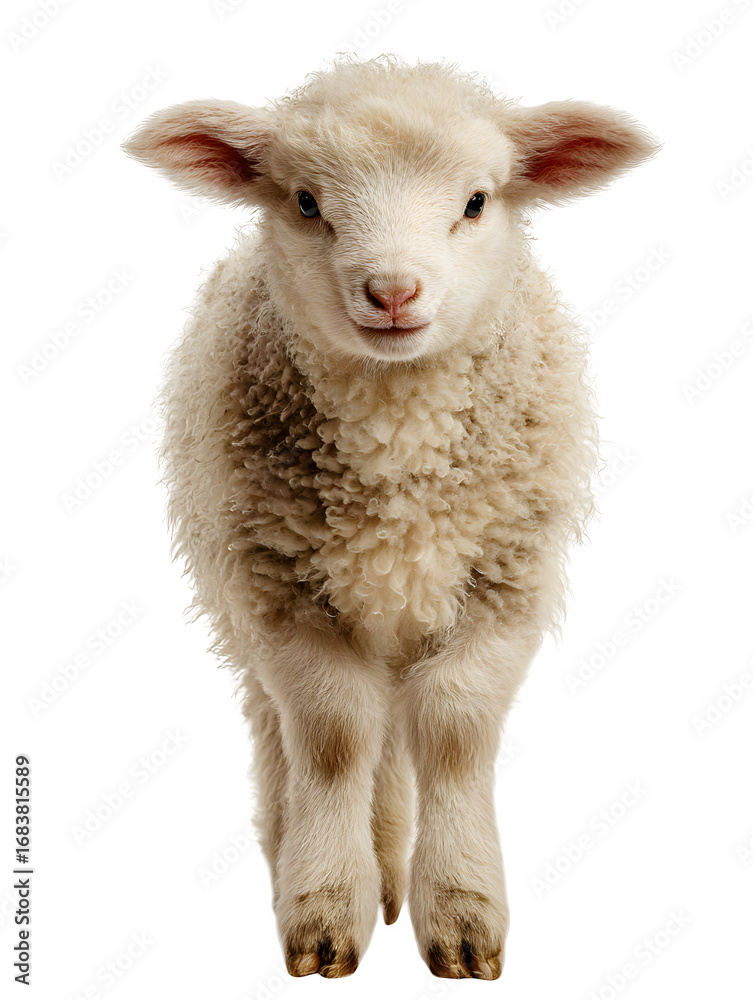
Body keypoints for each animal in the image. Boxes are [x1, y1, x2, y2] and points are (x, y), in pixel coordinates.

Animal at [124, 57, 657, 980]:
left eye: (476, 201)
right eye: (306, 202)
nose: (393, 291)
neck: (397, 443)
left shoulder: (502, 583)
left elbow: (452, 732)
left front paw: (461, 914)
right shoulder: (281, 592)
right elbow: (333, 736)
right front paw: (325, 907)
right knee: (290, 736)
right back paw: (320, 857)